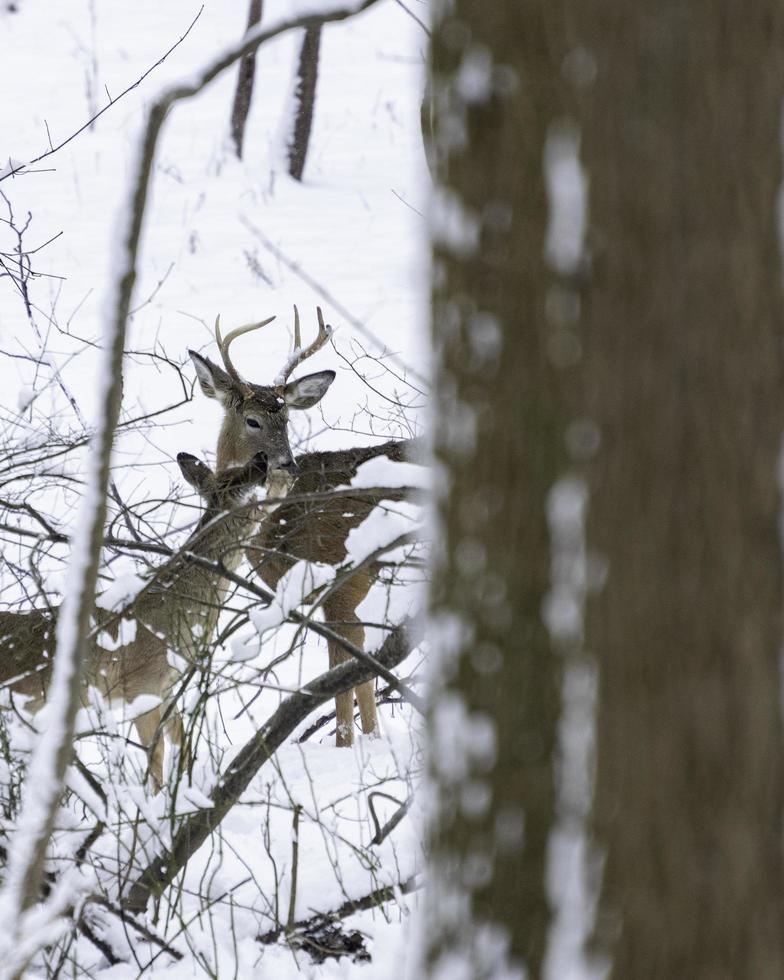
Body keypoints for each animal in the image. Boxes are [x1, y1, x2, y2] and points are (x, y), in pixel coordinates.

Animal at [0, 452, 270, 788]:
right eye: (245, 488)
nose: (264, 459)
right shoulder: (142, 684)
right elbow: (156, 757)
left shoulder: (167, 686)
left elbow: (182, 741)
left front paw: (188, 790)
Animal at [191, 306, 386, 744]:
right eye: (252, 420)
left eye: (287, 420)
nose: (287, 464)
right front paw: (374, 740)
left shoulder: (344, 583)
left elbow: (345, 682)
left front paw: (348, 744)